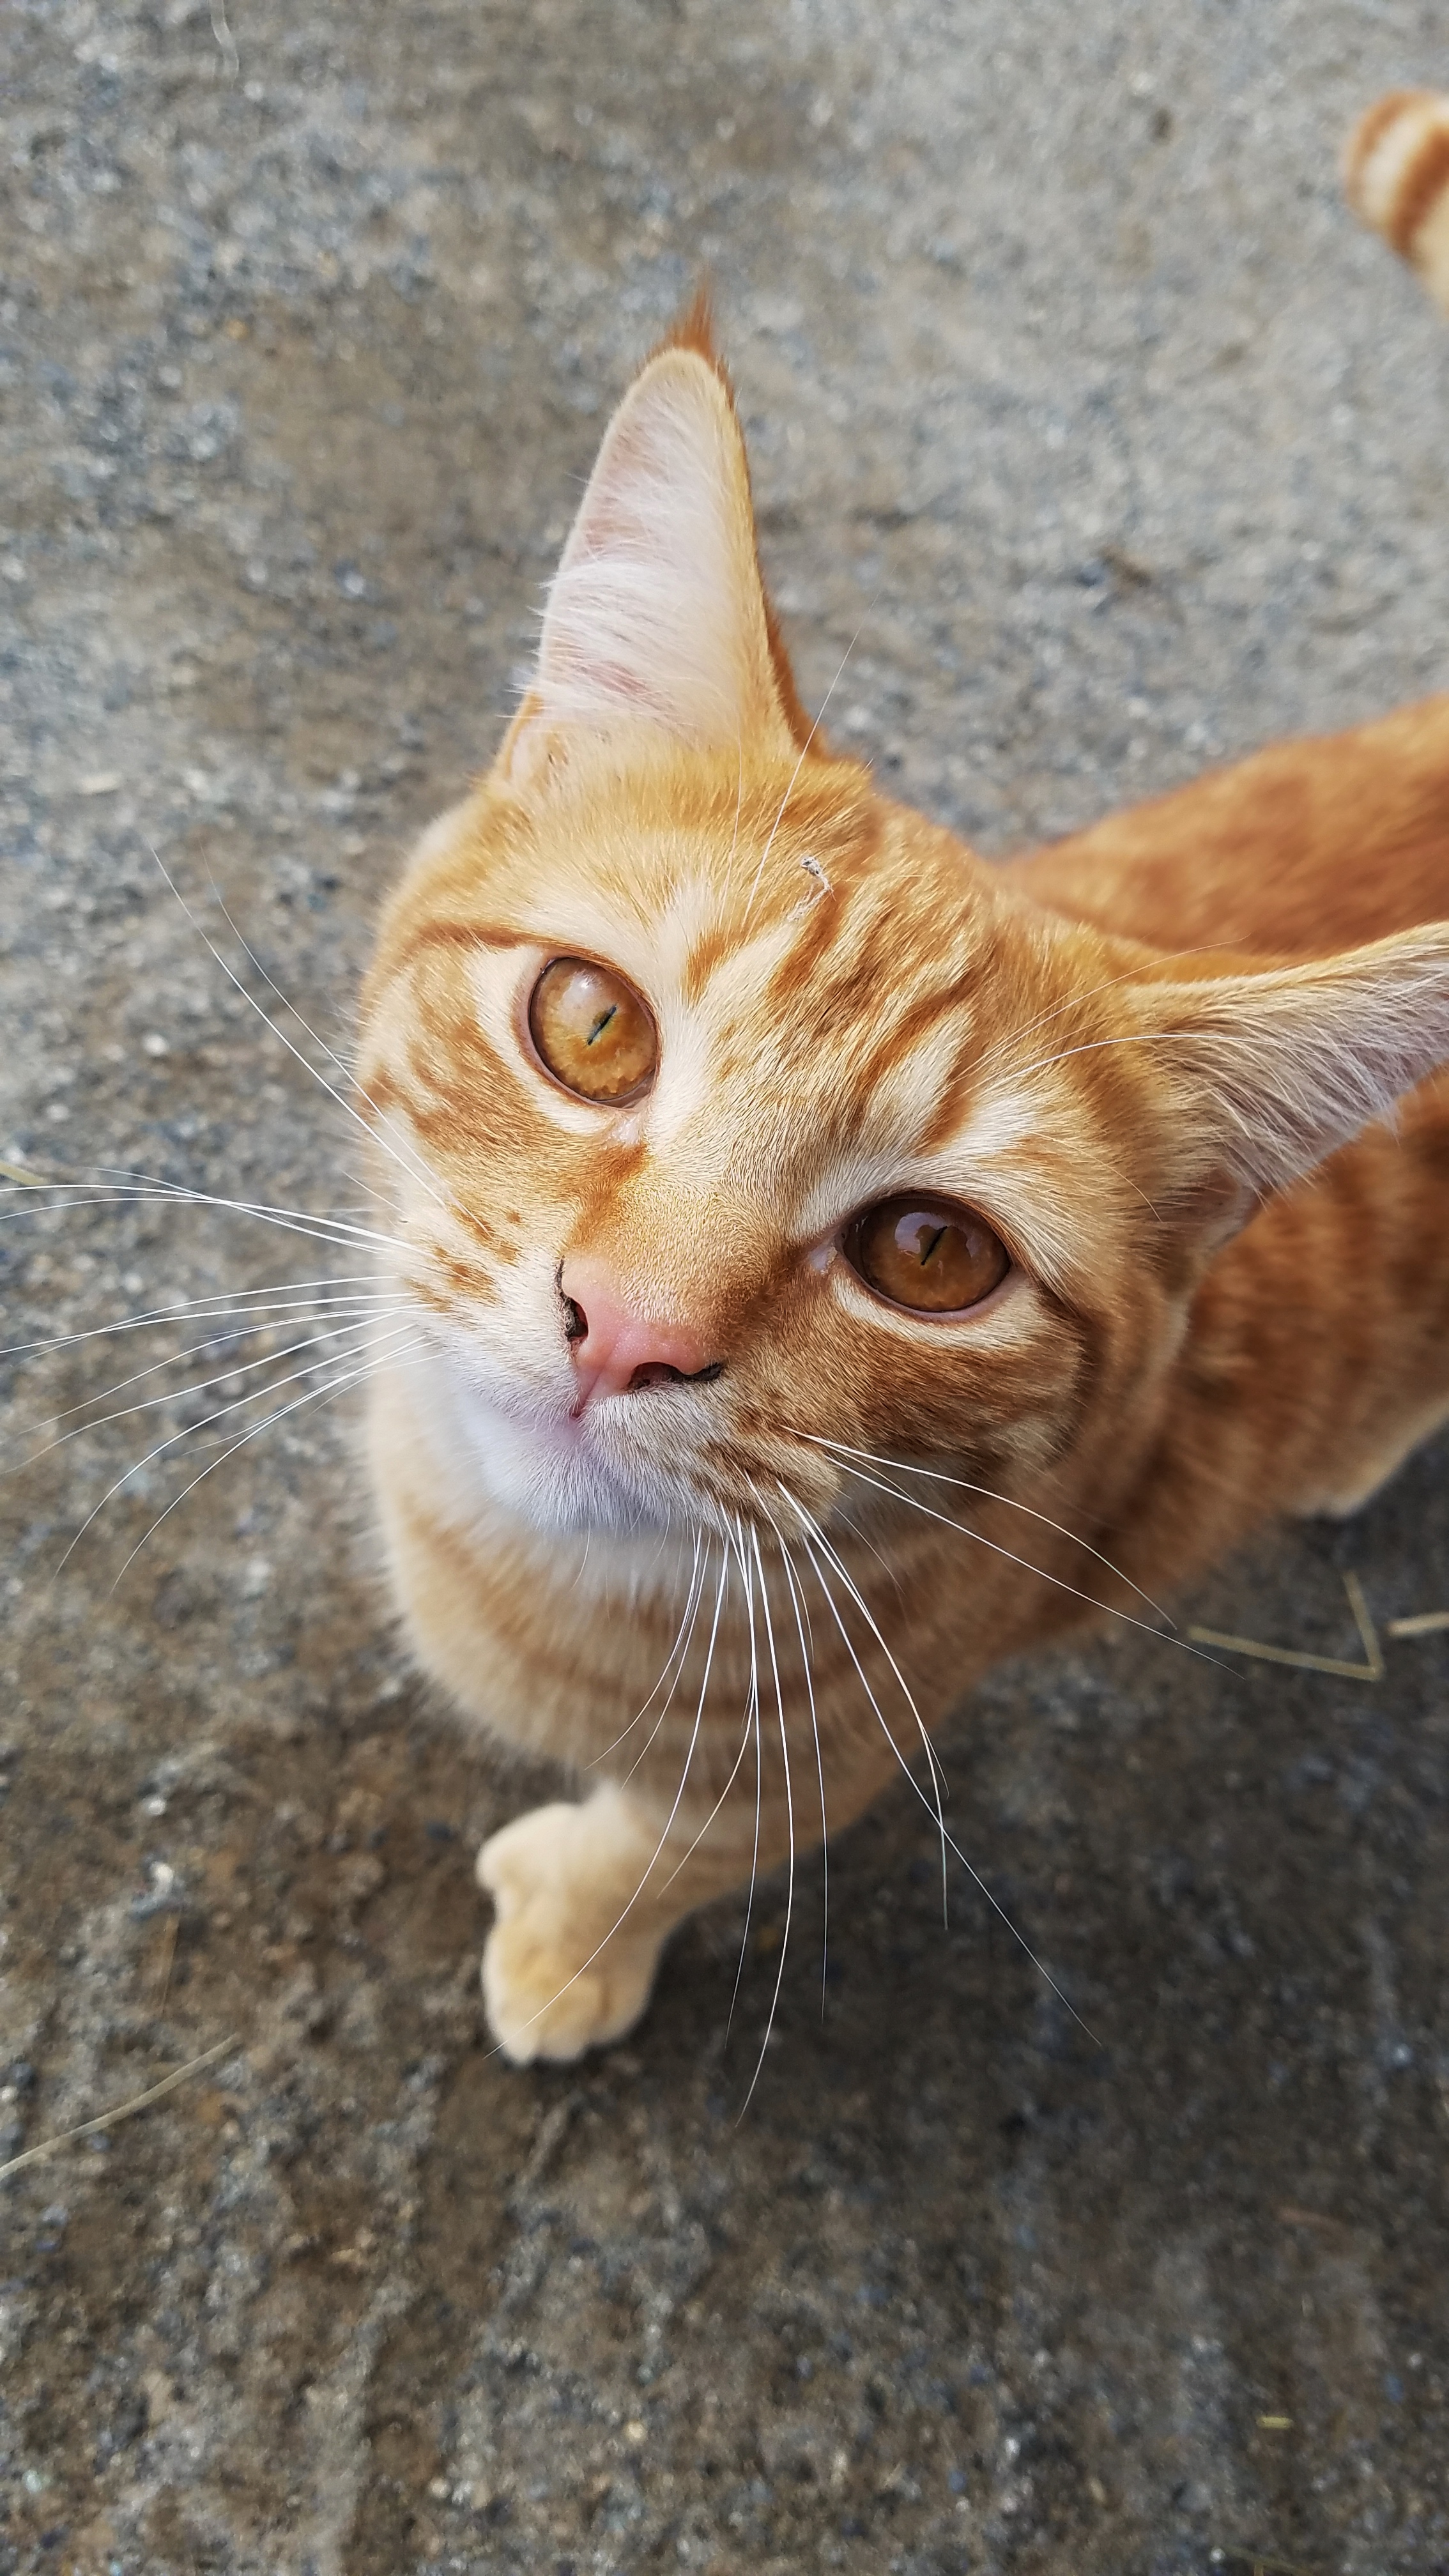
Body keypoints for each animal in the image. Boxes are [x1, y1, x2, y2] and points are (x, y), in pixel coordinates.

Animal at [357, 222, 1449, 2066]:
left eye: (930, 1257)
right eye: (593, 1029)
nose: (625, 1334)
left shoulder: (815, 1768)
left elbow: (655, 1856)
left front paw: (571, 1947)